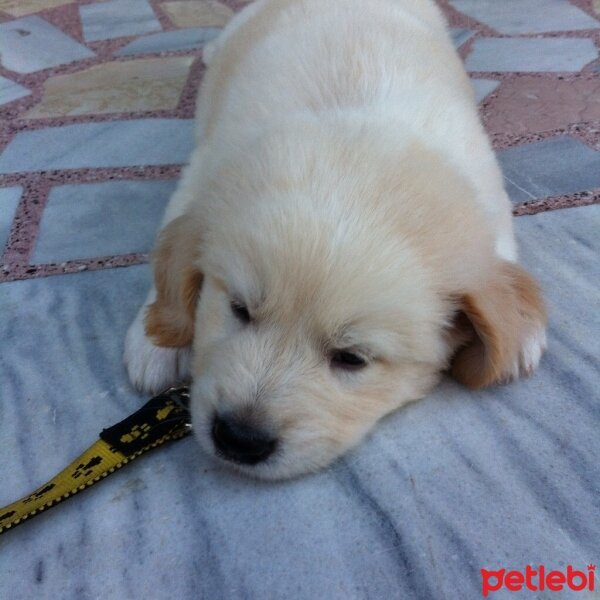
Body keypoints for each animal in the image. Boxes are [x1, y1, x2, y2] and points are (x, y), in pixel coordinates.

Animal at [124, 0, 548, 478]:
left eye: (351, 358)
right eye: (239, 310)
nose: (238, 438)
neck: (356, 135)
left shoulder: (488, 197)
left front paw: (521, 333)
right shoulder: (202, 171)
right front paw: (154, 341)